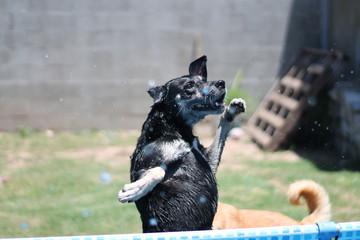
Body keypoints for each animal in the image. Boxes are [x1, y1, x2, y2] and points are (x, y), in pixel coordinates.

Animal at [118, 56, 245, 232]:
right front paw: (135, 190)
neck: (177, 130)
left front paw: (231, 110)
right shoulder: (140, 167)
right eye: (189, 86)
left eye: (203, 80)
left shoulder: (209, 162)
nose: (221, 83)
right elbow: (158, 171)